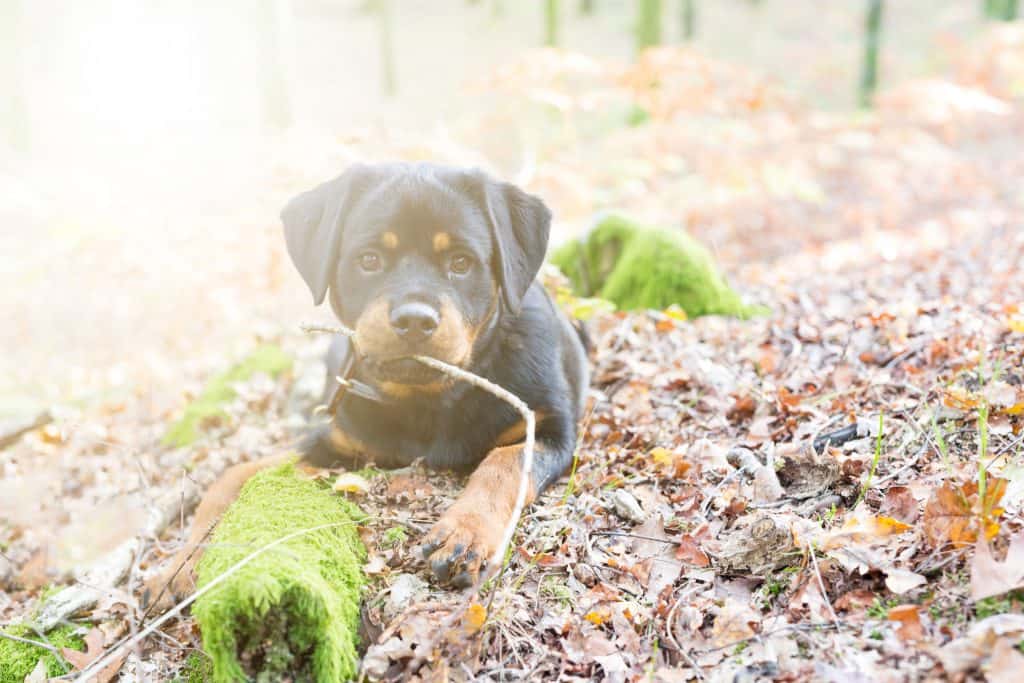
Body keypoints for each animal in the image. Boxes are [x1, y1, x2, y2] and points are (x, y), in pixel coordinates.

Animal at [147, 162, 589, 606]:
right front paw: (178, 568)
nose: (415, 319)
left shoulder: (551, 428)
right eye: (369, 260)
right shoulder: (336, 439)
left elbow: (505, 463)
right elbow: (231, 477)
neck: (428, 403)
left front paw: (466, 533)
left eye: (461, 262)